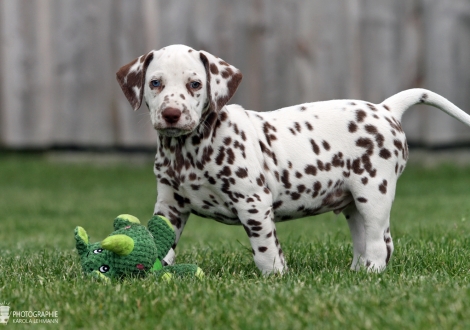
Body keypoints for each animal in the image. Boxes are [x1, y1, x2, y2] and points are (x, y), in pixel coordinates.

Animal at [115, 44, 470, 276]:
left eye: (195, 84)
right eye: (155, 83)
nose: (171, 114)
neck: (190, 149)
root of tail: (386, 108)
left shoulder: (252, 202)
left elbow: (265, 249)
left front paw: (275, 277)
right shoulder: (170, 206)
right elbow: (162, 242)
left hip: (374, 194)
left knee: (380, 244)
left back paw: (371, 272)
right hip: (353, 204)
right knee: (367, 242)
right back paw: (356, 273)